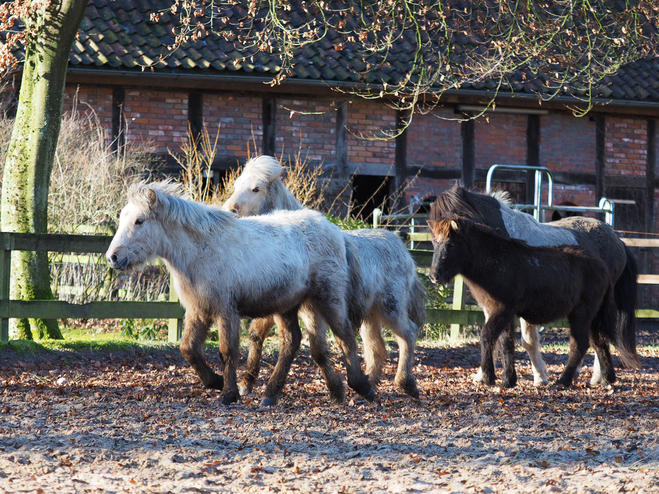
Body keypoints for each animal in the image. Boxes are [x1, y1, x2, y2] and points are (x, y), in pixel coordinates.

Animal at [107, 181, 376, 406]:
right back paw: (282, 393)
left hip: (328, 298)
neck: (202, 250)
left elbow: (227, 351)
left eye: (139, 220)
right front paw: (215, 382)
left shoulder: (226, 311)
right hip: (291, 305)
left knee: (344, 336)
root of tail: (336, 231)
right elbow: (188, 349)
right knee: (293, 342)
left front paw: (229, 394)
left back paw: (361, 387)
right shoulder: (199, 311)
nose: (113, 257)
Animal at [224, 156, 426, 400]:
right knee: (377, 348)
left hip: (391, 308)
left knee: (408, 334)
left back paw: (406, 383)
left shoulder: (306, 308)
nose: (230, 210)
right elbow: (259, 335)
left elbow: (311, 347)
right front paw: (247, 382)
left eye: (256, 188)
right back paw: (369, 384)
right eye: (236, 185)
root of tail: (403, 249)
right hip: (371, 314)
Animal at [428, 216, 640, 390]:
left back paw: (563, 381)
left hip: (582, 314)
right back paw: (606, 379)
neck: (497, 264)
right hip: (593, 316)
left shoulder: (501, 311)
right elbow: (506, 344)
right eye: (434, 243)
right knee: (599, 343)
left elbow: (488, 336)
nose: (434, 276)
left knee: (580, 344)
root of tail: (602, 266)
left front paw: (489, 378)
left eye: (450, 244)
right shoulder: (505, 313)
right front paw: (508, 380)